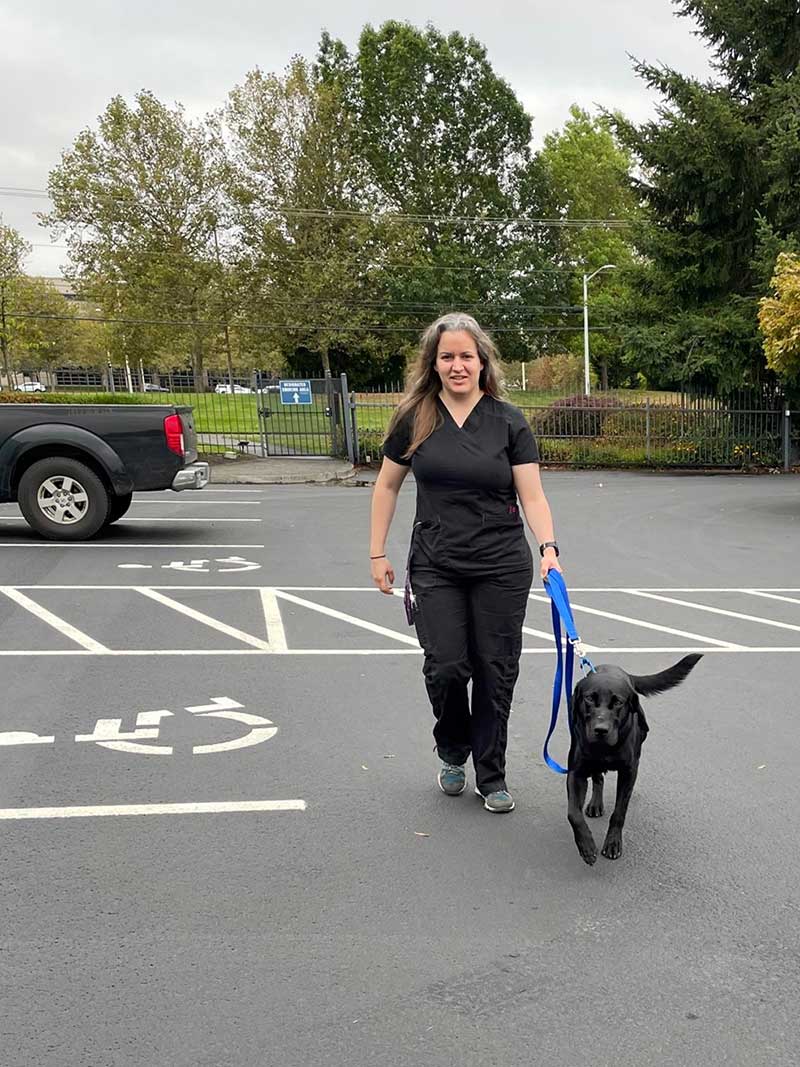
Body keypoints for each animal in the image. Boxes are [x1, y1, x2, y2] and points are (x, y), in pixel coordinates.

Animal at [567, 648, 704, 866]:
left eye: (618, 702)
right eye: (589, 698)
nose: (600, 730)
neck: (606, 748)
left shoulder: (629, 771)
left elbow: (619, 812)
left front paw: (613, 843)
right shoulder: (575, 772)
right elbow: (573, 814)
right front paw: (586, 846)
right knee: (598, 777)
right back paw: (596, 804)